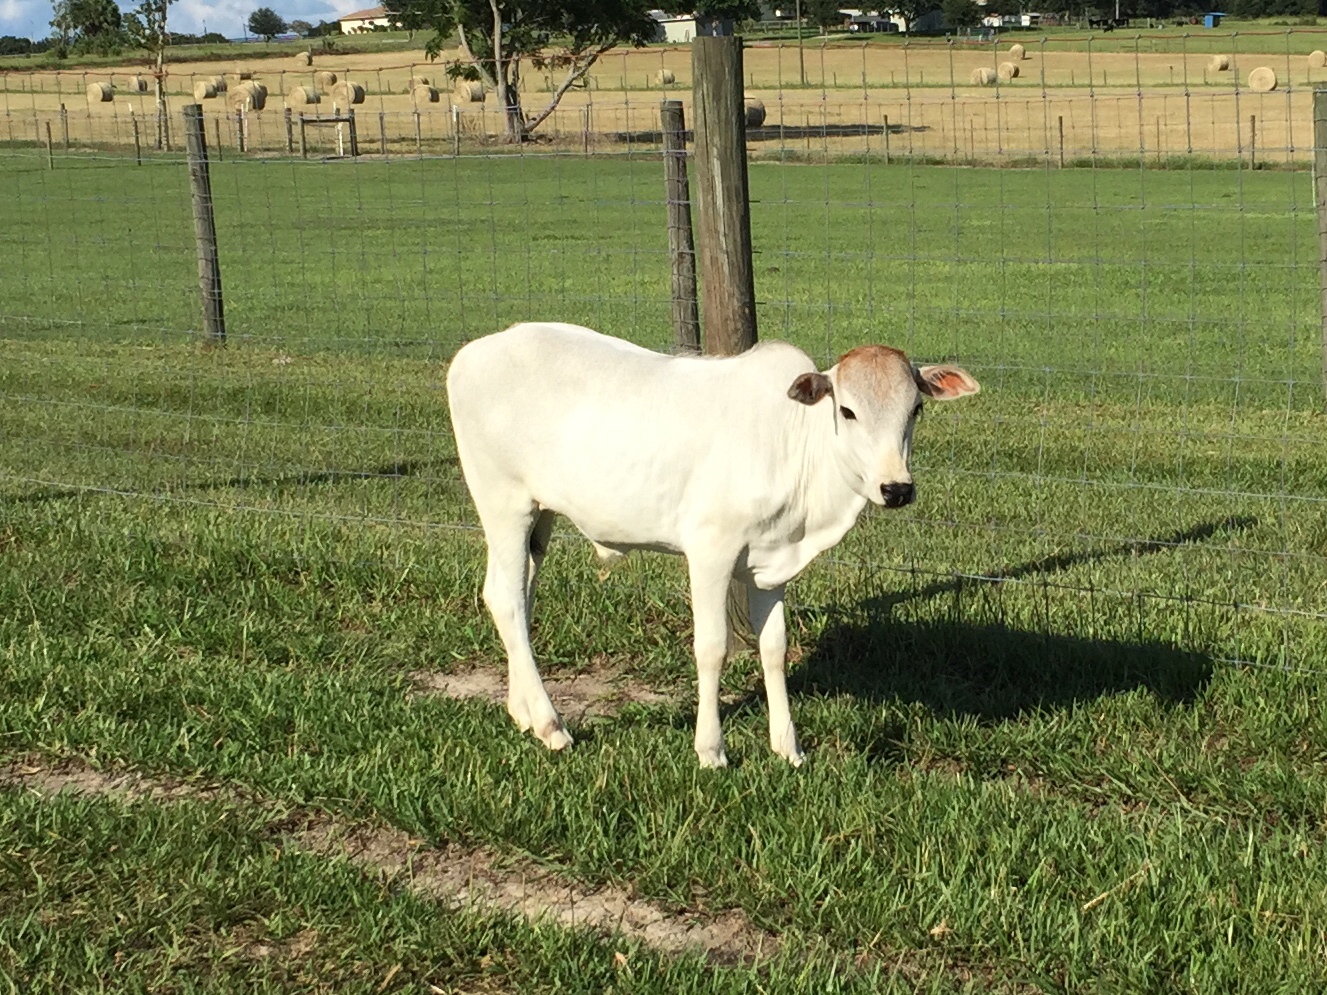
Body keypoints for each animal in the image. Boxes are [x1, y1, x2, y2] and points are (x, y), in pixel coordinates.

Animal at [446, 322, 980, 767]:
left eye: (916, 408)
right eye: (847, 411)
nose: (897, 488)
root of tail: (473, 352)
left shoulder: (770, 566)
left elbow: (774, 647)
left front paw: (788, 747)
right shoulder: (710, 551)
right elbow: (711, 647)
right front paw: (711, 750)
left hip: (541, 514)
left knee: (521, 594)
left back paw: (522, 711)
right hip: (503, 502)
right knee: (506, 599)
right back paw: (551, 725)